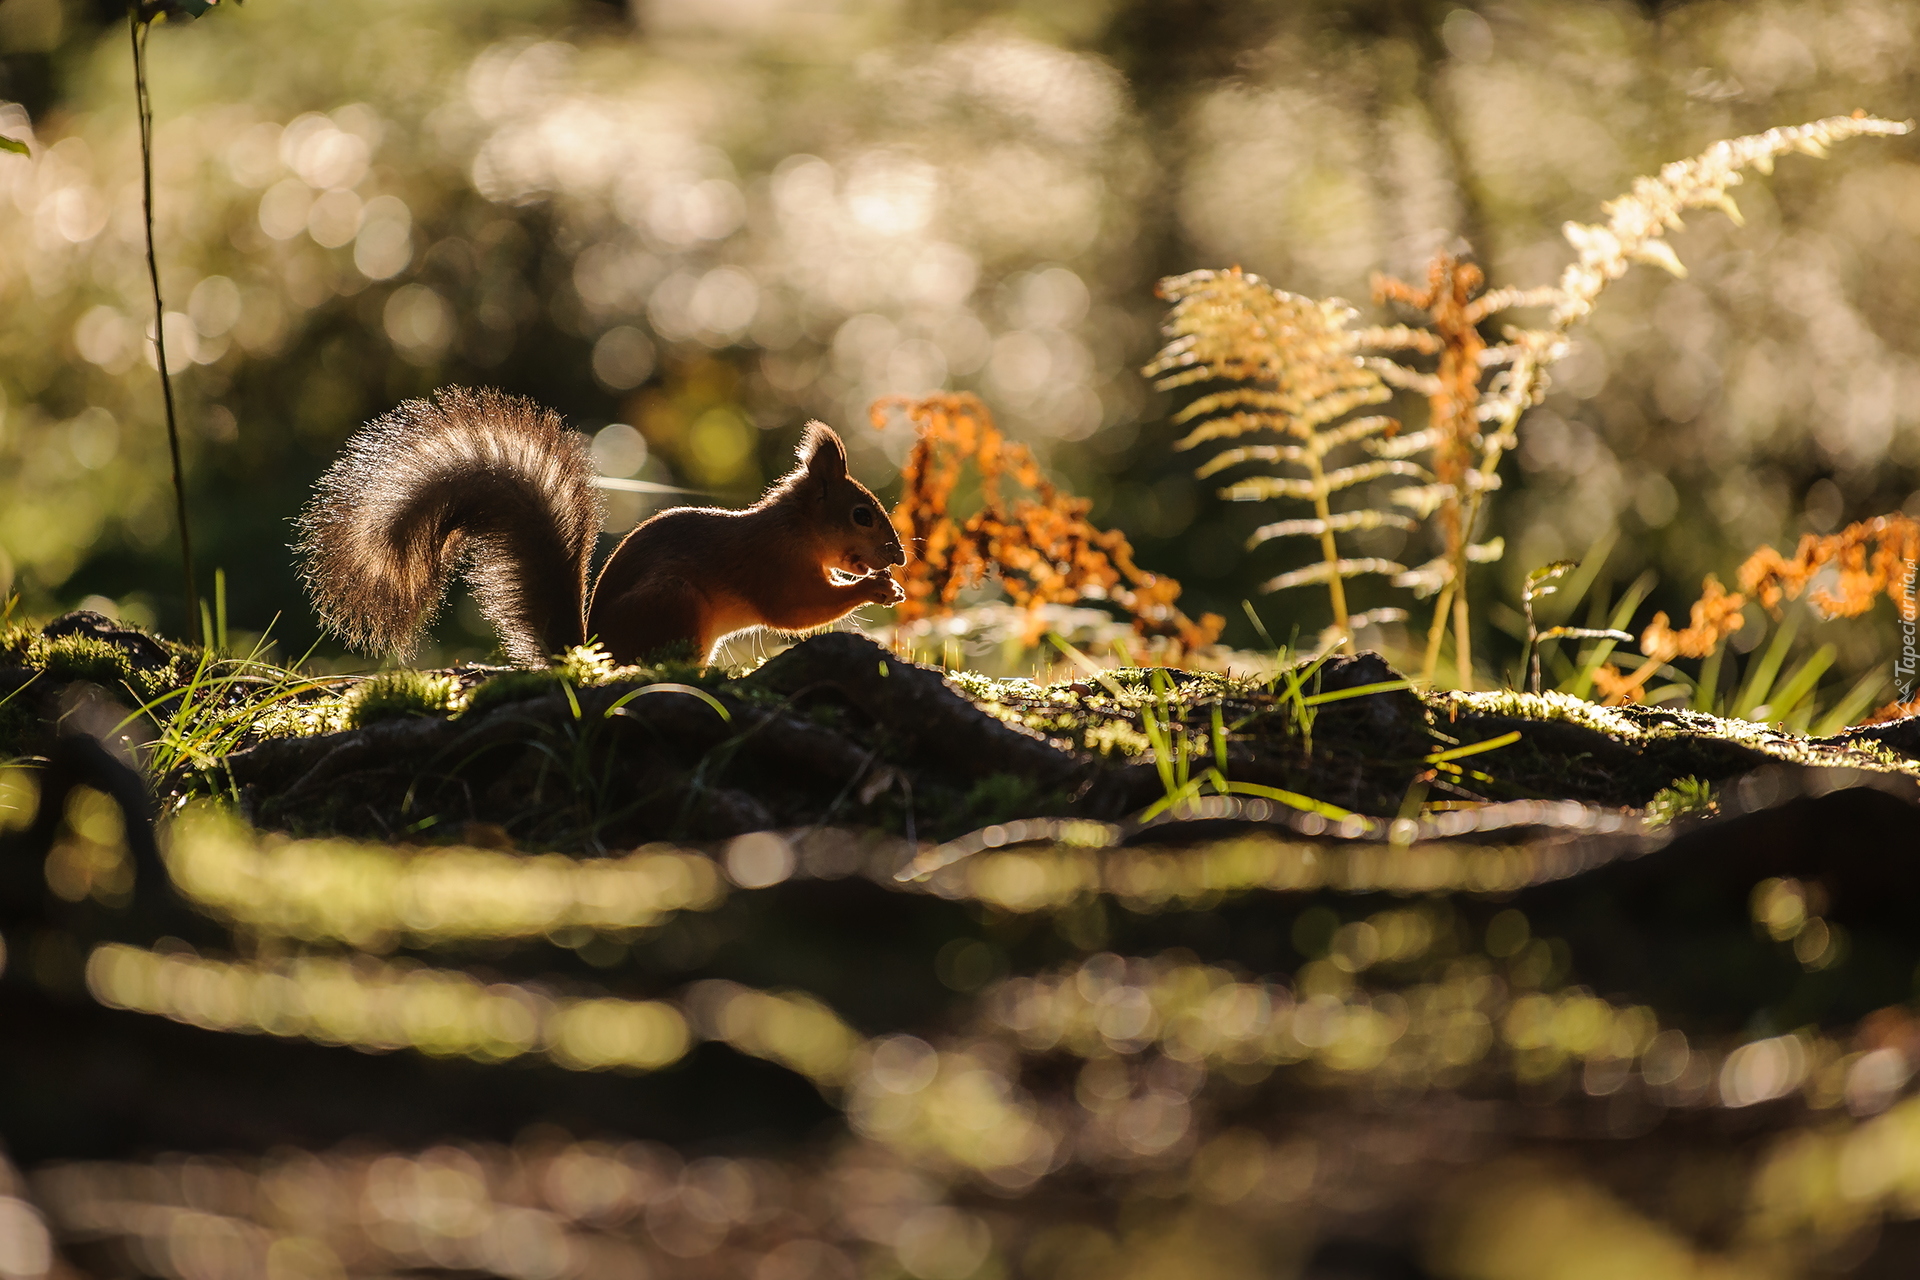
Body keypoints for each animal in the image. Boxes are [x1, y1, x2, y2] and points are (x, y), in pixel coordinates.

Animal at [293, 385, 906, 667]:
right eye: (861, 513)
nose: (899, 556)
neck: (794, 528)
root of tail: (591, 649)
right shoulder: (770, 566)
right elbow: (799, 611)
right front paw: (877, 588)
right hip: (674, 603)